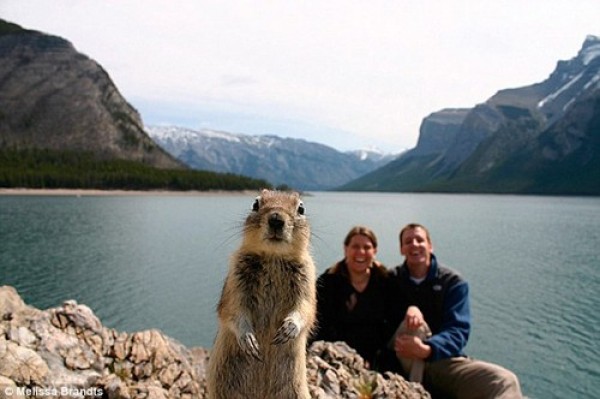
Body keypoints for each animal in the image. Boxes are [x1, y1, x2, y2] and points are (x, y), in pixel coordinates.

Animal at [207, 191, 316, 399]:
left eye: (301, 208)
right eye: (255, 203)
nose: (276, 219)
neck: (274, 256)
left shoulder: (307, 280)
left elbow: (305, 308)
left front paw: (289, 329)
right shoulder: (235, 280)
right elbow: (233, 310)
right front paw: (248, 340)